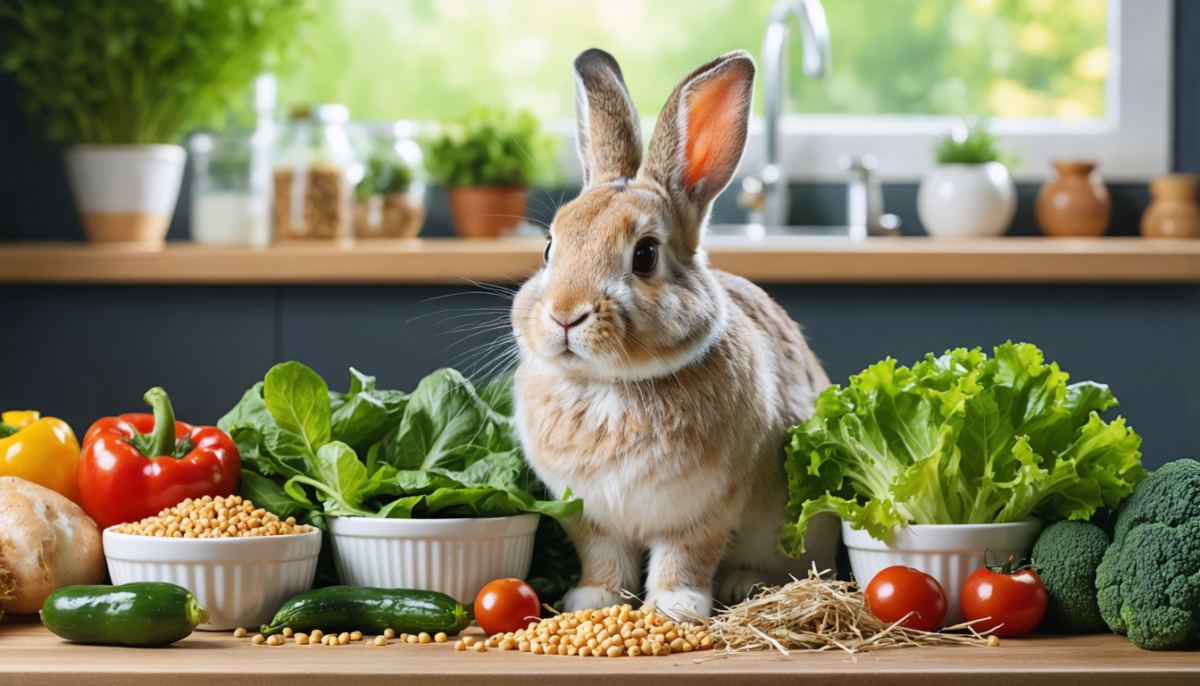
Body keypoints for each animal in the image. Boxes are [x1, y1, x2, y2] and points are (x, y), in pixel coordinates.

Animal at [510, 48, 839, 618]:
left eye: (645, 255)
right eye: (550, 248)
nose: (565, 315)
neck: (610, 387)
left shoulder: (703, 510)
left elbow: (684, 558)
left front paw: (674, 609)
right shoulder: (589, 516)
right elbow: (604, 558)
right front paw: (592, 600)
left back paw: (742, 586)